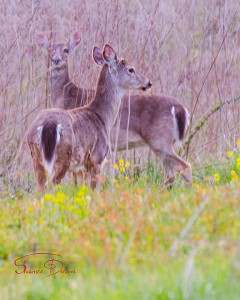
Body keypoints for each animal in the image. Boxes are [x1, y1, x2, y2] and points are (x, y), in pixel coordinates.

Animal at [27, 44, 151, 195]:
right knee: (51, 184)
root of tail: (48, 125)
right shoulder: (96, 159)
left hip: (36, 156)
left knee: (39, 188)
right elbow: (93, 192)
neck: (103, 117)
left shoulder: (80, 168)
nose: (148, 82)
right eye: (131, 69)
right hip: (63, 155)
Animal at [36, 33, 193, 188]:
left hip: (160, 140)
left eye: (66, 50)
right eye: (50, 49)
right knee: (171, 174)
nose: (56, 60)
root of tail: (180, 108)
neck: (67, 97)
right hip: (161, 145)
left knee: (184, 167)